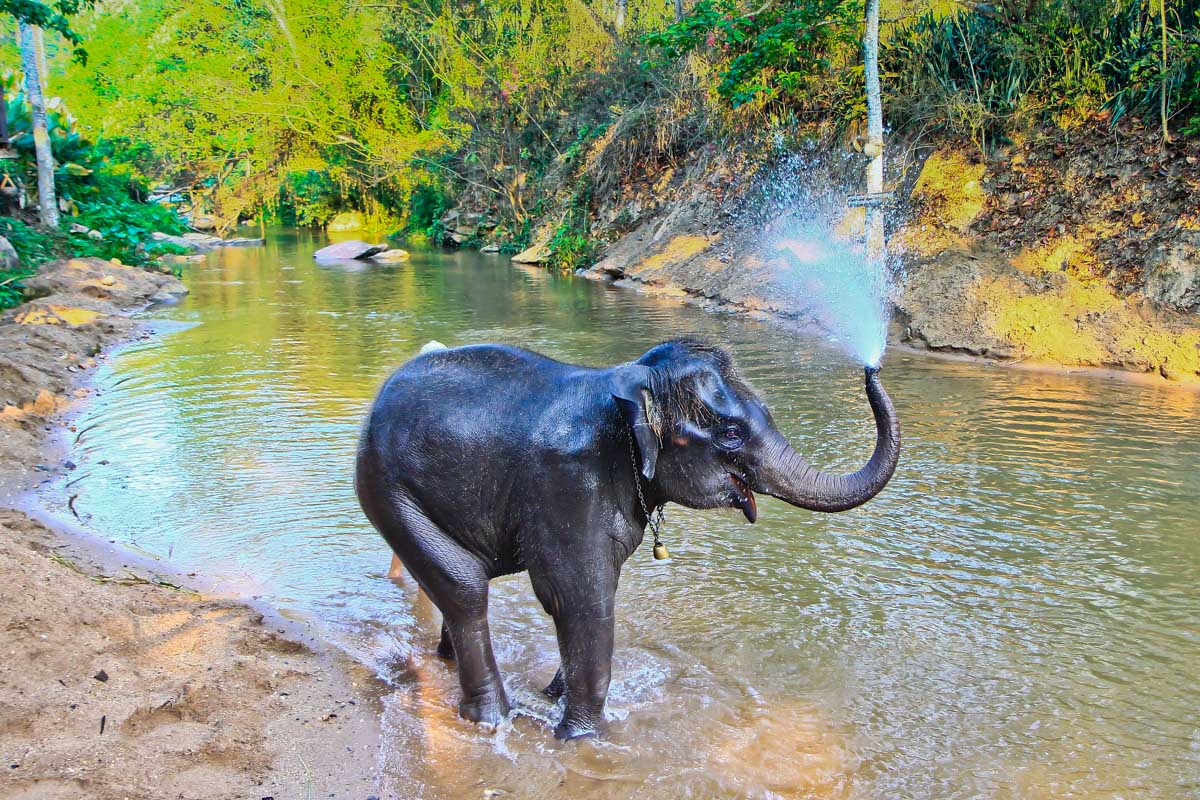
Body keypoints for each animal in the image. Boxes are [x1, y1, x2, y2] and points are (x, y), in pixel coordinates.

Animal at [355, 338, 900, 739]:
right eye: (729, 434)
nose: (872, 368)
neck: (627, 383)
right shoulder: (567, 483)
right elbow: (581, 599)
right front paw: (580, 737)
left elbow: (594, 595)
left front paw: (555, 696)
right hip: (388, 487)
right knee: (465, 587)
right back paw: (490, 720)